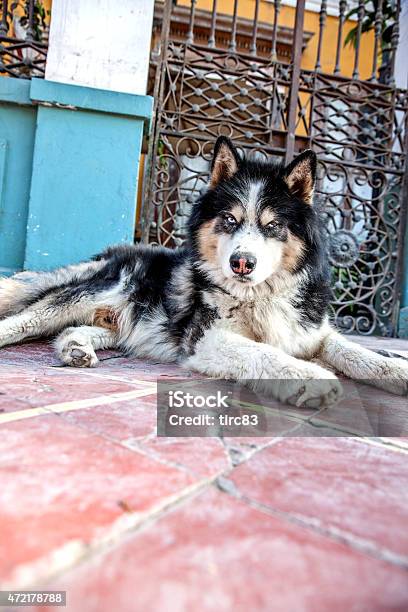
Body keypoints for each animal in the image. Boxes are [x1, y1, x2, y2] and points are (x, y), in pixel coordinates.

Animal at [0, 137, 408, 406]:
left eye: (273, 225)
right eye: (229, 220)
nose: (241, 262)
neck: (258, 296)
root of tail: (111, 252)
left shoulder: (310, 331)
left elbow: (353, 350)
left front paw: (396, 368)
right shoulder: (206, 337)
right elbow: (262, 351)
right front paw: (308, 377)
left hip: (124, 322)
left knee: (80, 329)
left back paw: (76, 347)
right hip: (84, 294)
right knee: (21, 322)